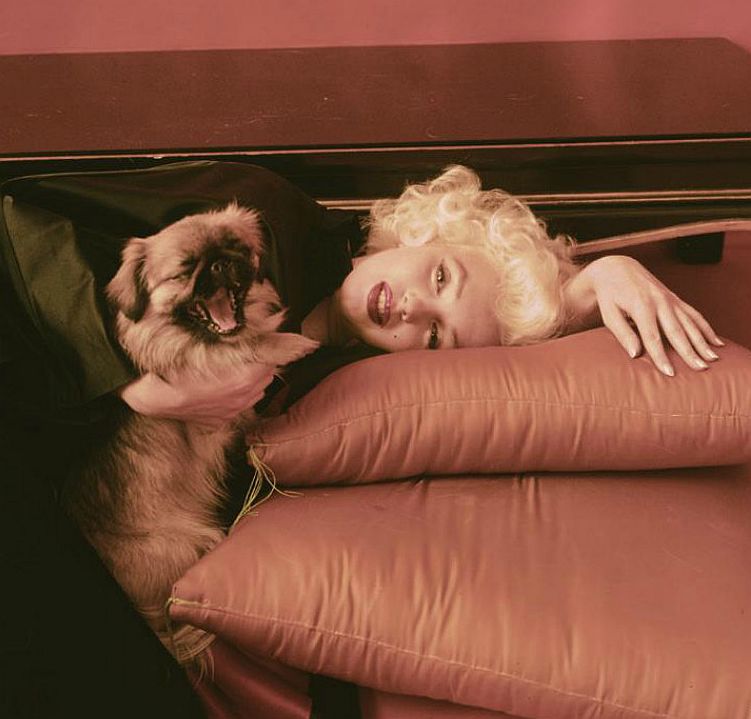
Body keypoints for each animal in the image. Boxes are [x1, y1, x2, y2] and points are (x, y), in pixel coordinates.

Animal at [62, 203, 318, 661]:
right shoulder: (211, 411)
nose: (219, 262)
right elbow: (249, 347)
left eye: (237, 248)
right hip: (193, 540)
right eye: (183, 270)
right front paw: (289, 343)